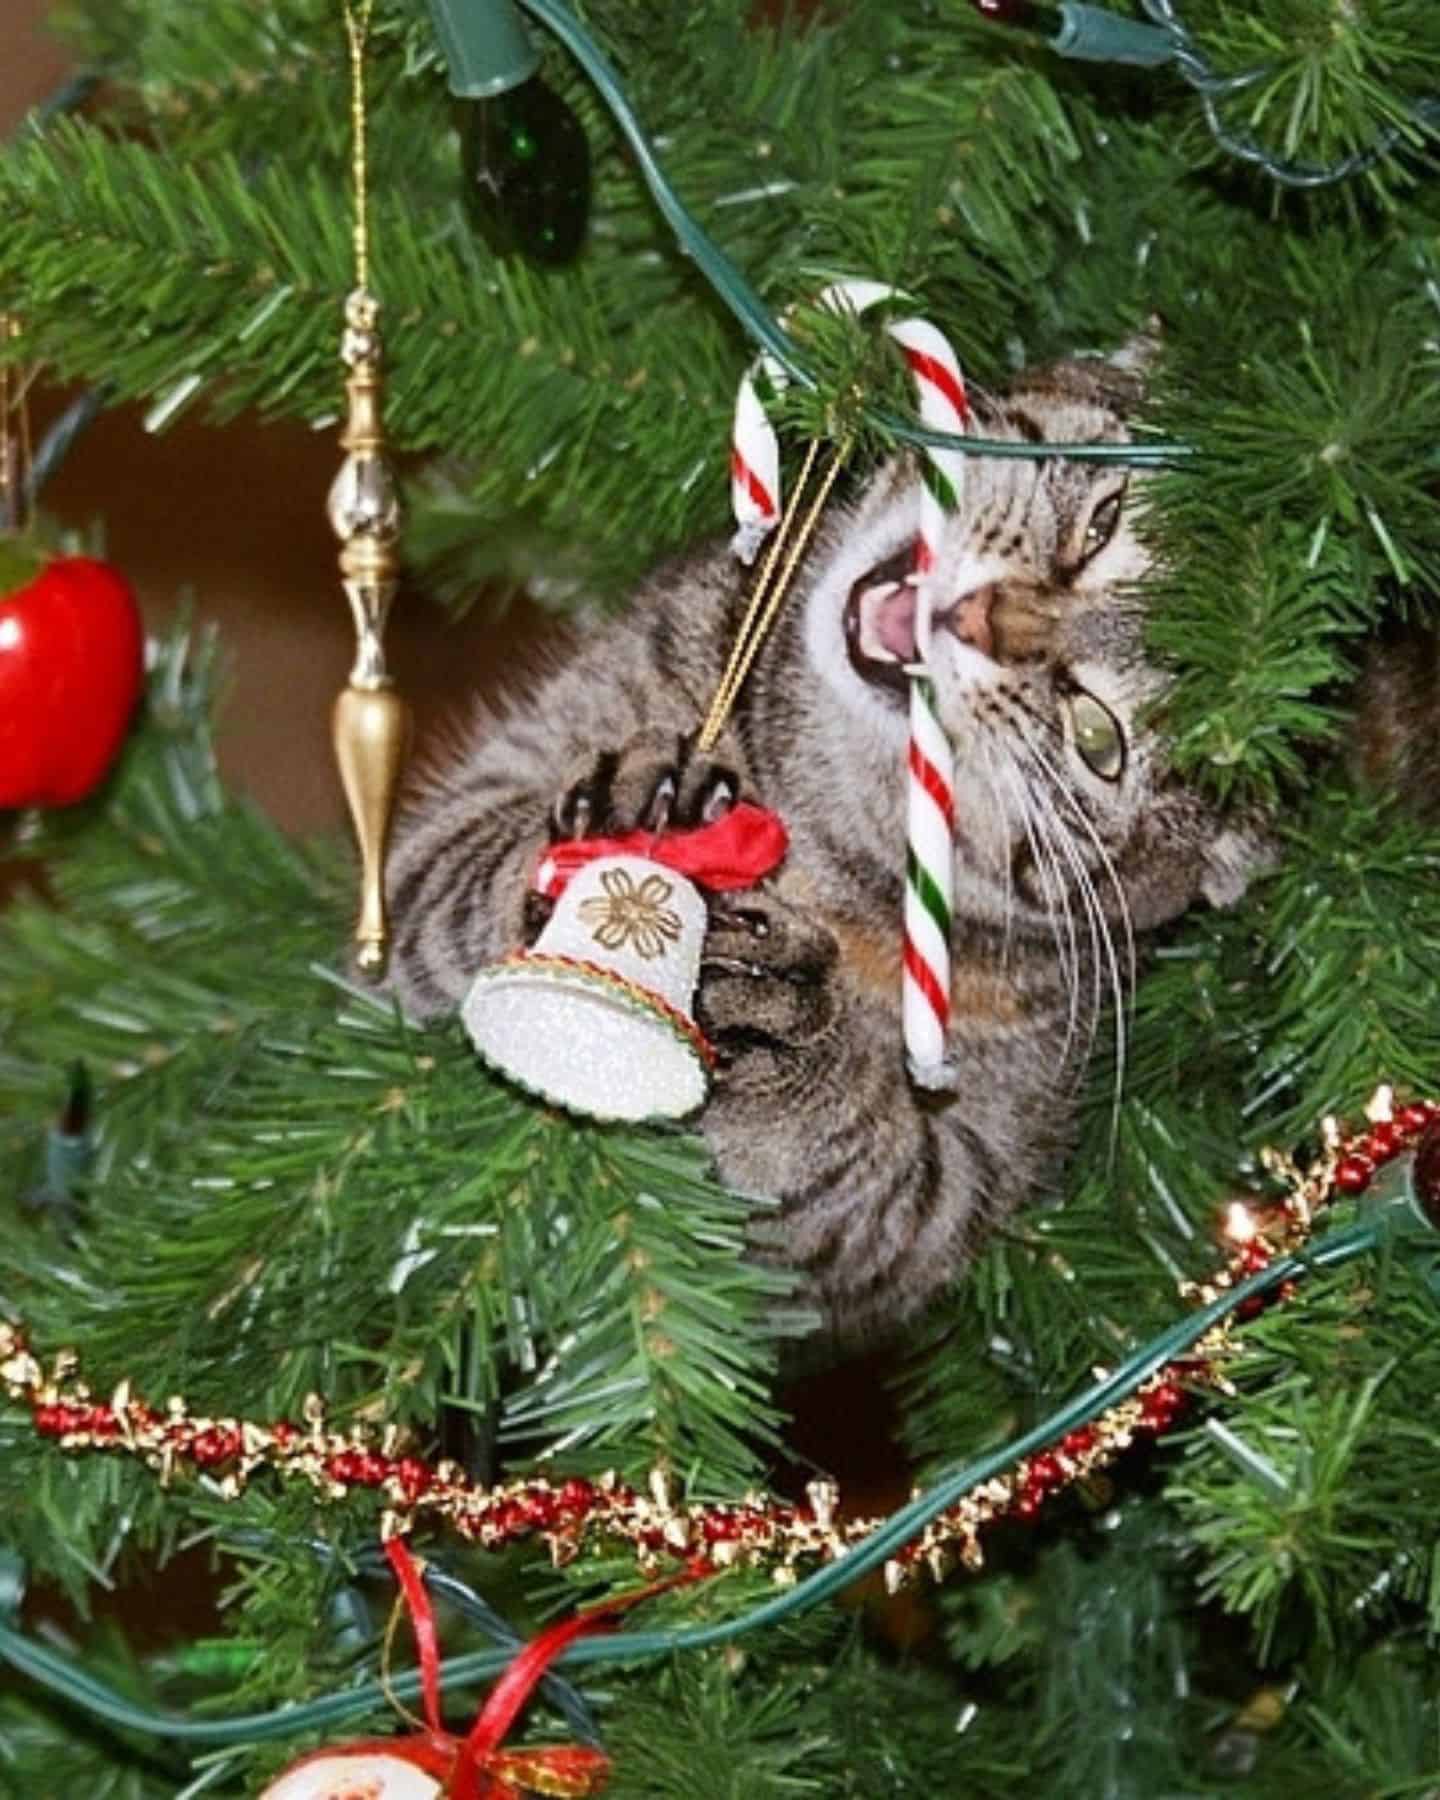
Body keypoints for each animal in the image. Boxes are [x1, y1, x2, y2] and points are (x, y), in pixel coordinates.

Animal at [385, 343, 1274, 1346]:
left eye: (1099, 740)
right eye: (1106, 521)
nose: (986, 619)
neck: (819, 818)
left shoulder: (942, 1197)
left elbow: (847, 1176)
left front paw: (778, 1026)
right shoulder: (461, 821)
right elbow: (460, 879)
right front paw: (620, 820)